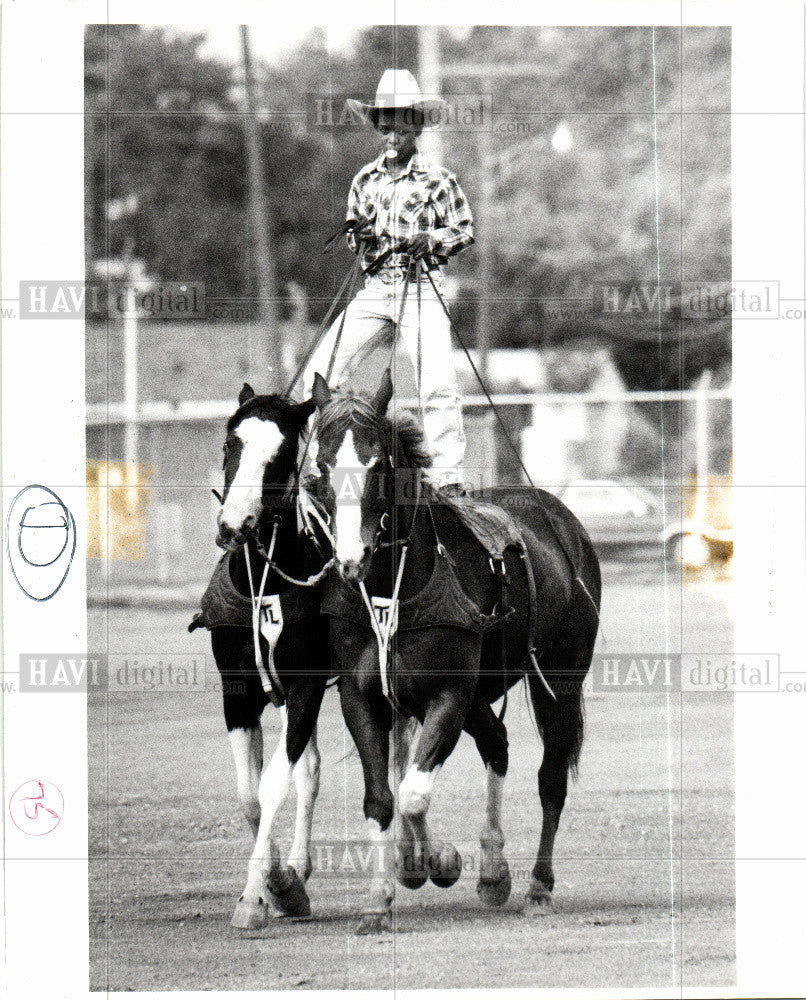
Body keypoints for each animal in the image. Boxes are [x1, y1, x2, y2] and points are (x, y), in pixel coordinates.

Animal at [310, 372, 600, 932]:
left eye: (378, 463)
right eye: (321, 468)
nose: (351, 560)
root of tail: (564, 522)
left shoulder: (448, 694)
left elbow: (413, 794)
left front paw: (435, 863)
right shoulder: (363, 697)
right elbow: (382, 798)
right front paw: (381, 896)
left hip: (558, 680)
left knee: (550, 778)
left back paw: (537, 886)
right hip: (477, 697)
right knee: (497, 743)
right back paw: (493, 872)